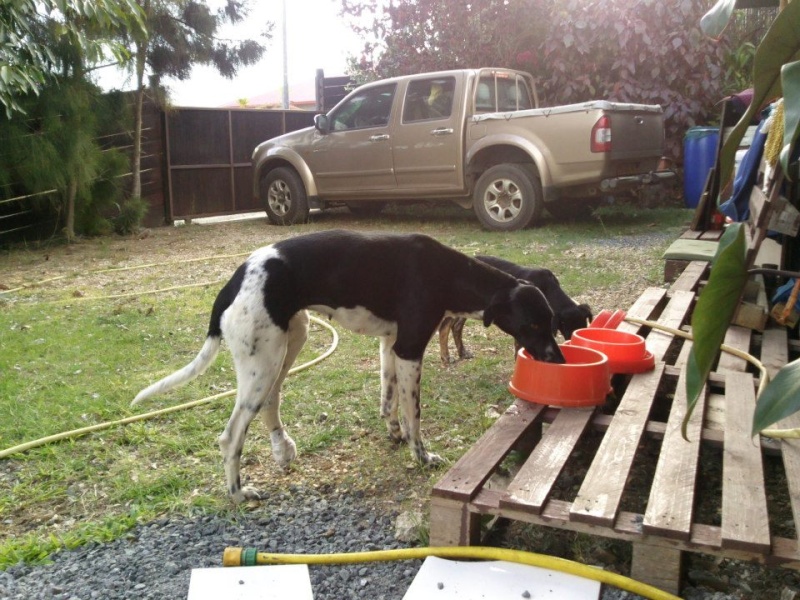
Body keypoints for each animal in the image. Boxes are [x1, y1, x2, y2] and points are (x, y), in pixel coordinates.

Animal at [440, 254, 592, 364]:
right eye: (566, 327)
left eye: (583, 325)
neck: (549, 287)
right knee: (445, 326)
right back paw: (446, 357)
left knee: (457, 326)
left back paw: (462, 352)